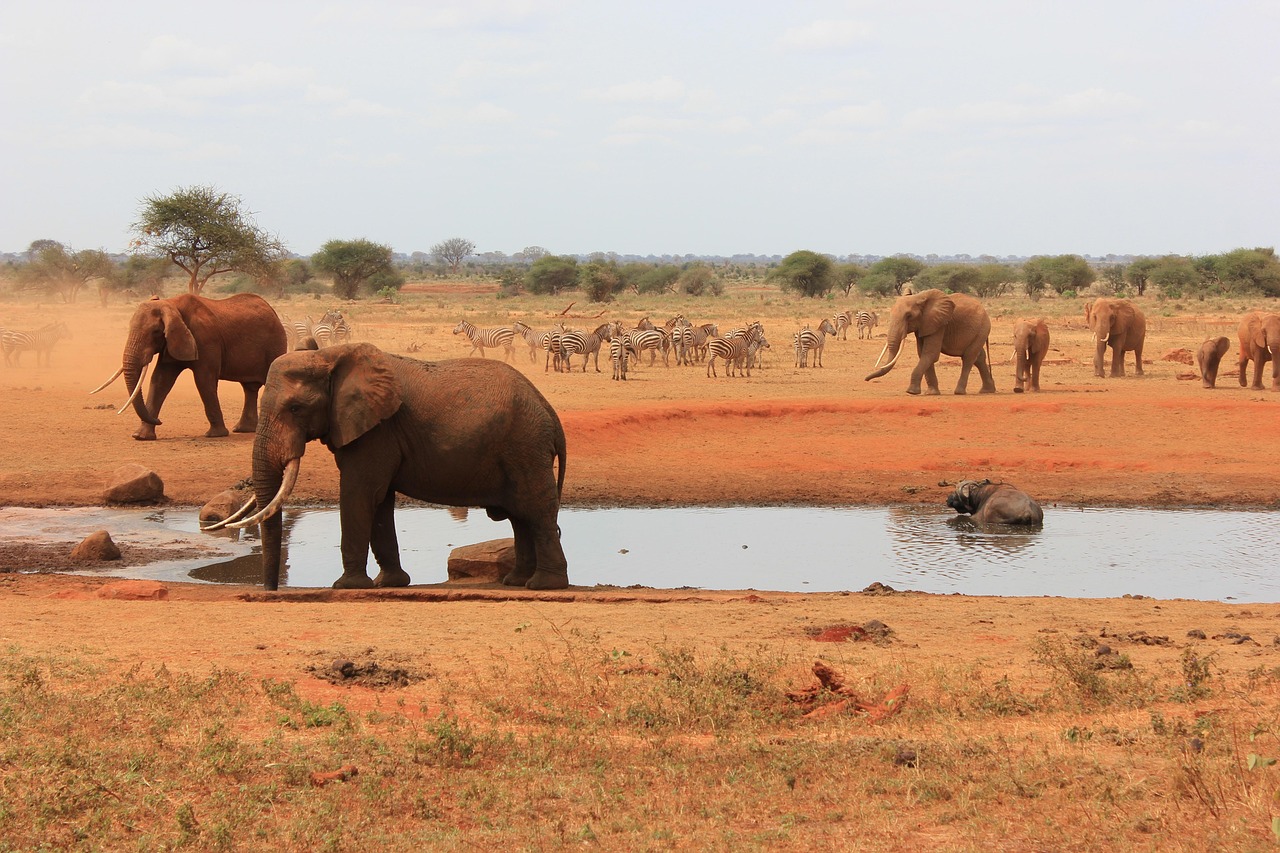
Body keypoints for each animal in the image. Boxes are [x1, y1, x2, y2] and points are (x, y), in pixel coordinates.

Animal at [92, 294, 287, 441]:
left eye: (155, 332)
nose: (159, 420)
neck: (171, 304)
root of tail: (273, 311)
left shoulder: (206, 340)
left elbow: (204, 380)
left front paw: (215, 435)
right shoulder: (172, 343)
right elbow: (160, 380)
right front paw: (141, 437)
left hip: (276, 344)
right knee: (250, 388)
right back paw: (243, 429)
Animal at [214, 343, 569, 592]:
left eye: (295, 408)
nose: (272, 590)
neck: (330, 355)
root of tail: (551, 413)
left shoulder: (377, 430)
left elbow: (359, 493)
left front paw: (347, 587)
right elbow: (379, 501)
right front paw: (389, 583)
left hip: (525, 446)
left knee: (535, 509)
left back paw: (544, 585)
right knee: (520, 516)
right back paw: (515, 582)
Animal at [864, 289, 996, 395]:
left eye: (909, 316)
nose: (865, 379)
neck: (919, 298)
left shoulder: (939, 324)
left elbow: (930, 354)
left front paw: (911, 392)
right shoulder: (923, 325)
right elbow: (922, 353)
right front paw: (931, 393)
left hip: (982, 328)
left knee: (969, 358)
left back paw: (959, 392)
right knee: (979, 357)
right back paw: (987, 391)